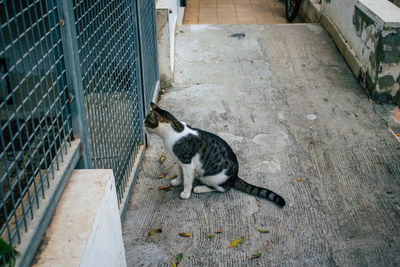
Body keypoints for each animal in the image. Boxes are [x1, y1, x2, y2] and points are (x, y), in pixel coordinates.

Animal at [145, 101, 286, 208]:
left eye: (146, 122)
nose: (143, 127)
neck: (174, 129)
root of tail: (235, 176)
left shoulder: (187, 164)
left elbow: (188, 181)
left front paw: (185, 192)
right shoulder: (180, 161)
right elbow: (180, 173)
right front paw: (178, 181)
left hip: (210, 178)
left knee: (221, 189)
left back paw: (200, 188)